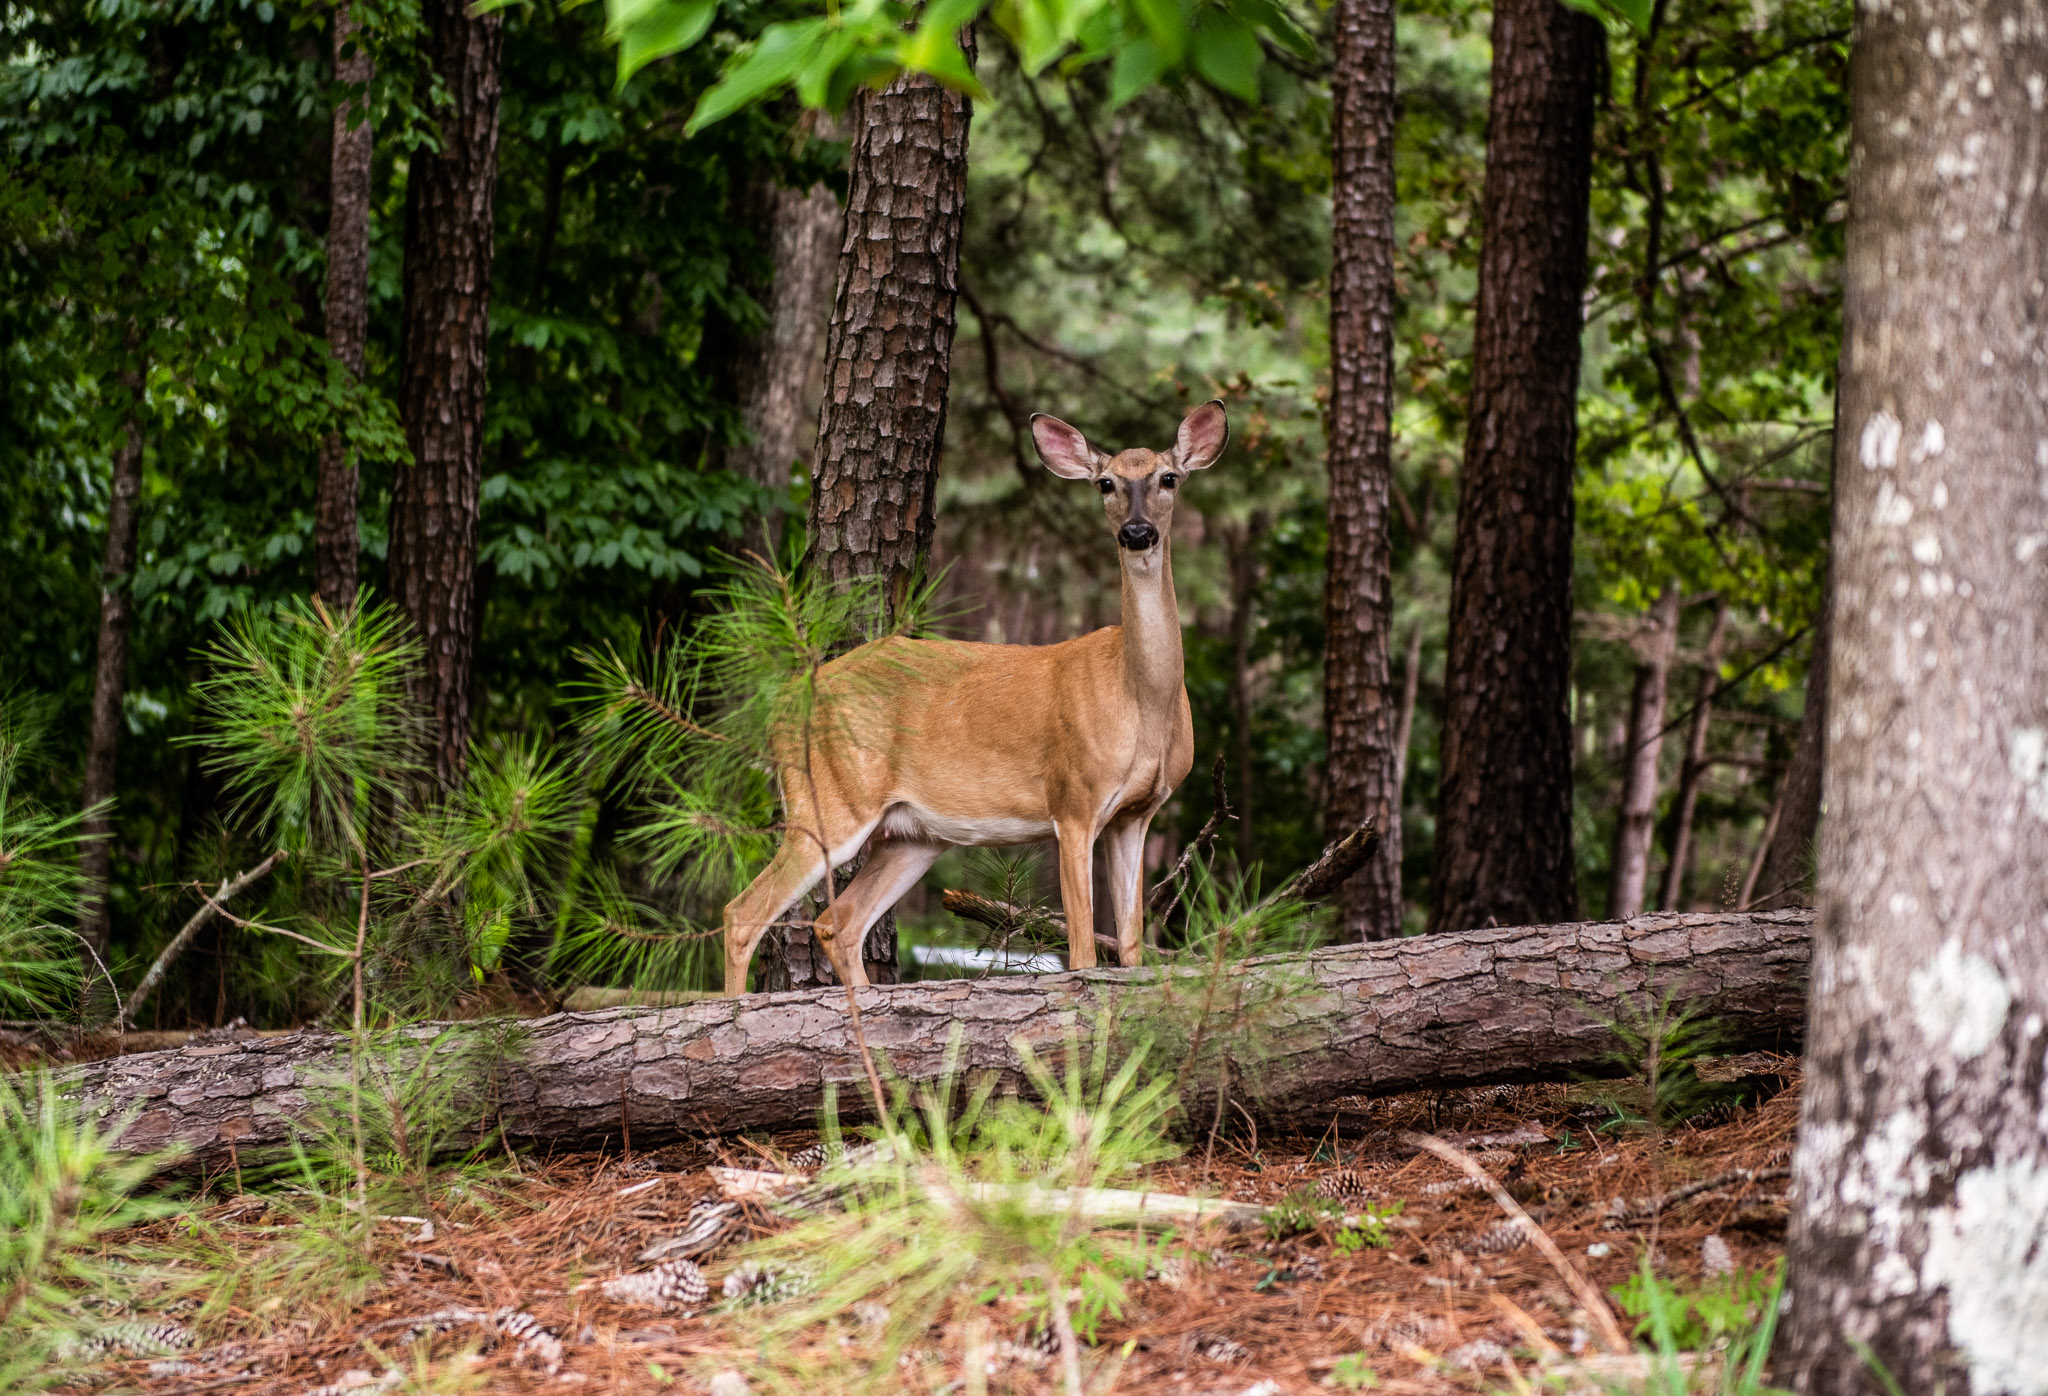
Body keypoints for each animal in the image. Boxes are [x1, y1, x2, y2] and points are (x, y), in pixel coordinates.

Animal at [720, 400, 1230, 995]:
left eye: (1168, 478)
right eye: (1106, 483)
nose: (1137, 531)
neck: (1140, 700)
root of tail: (782, 706)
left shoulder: (1137, 813)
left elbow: (1130, 949)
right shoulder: (1074, 798)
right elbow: (1083, 953)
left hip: (911, 836)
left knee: (836, 923)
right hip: (830, 796)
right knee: (743, 913)